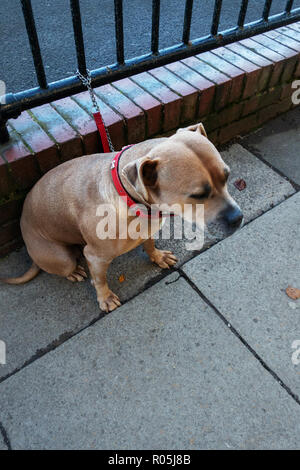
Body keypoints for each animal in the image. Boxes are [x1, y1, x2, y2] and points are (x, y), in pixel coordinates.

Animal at [0, 123, 244, 310]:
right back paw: (73, 272)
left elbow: (149, 244)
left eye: (227, 176)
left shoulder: (148, 229)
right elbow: (100, 279)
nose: (238, 218)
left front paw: (157, 256)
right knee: (65, 265)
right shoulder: (95, 257)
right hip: (61, 257)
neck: (134, 202)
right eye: (198, 195)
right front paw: (105, 298)